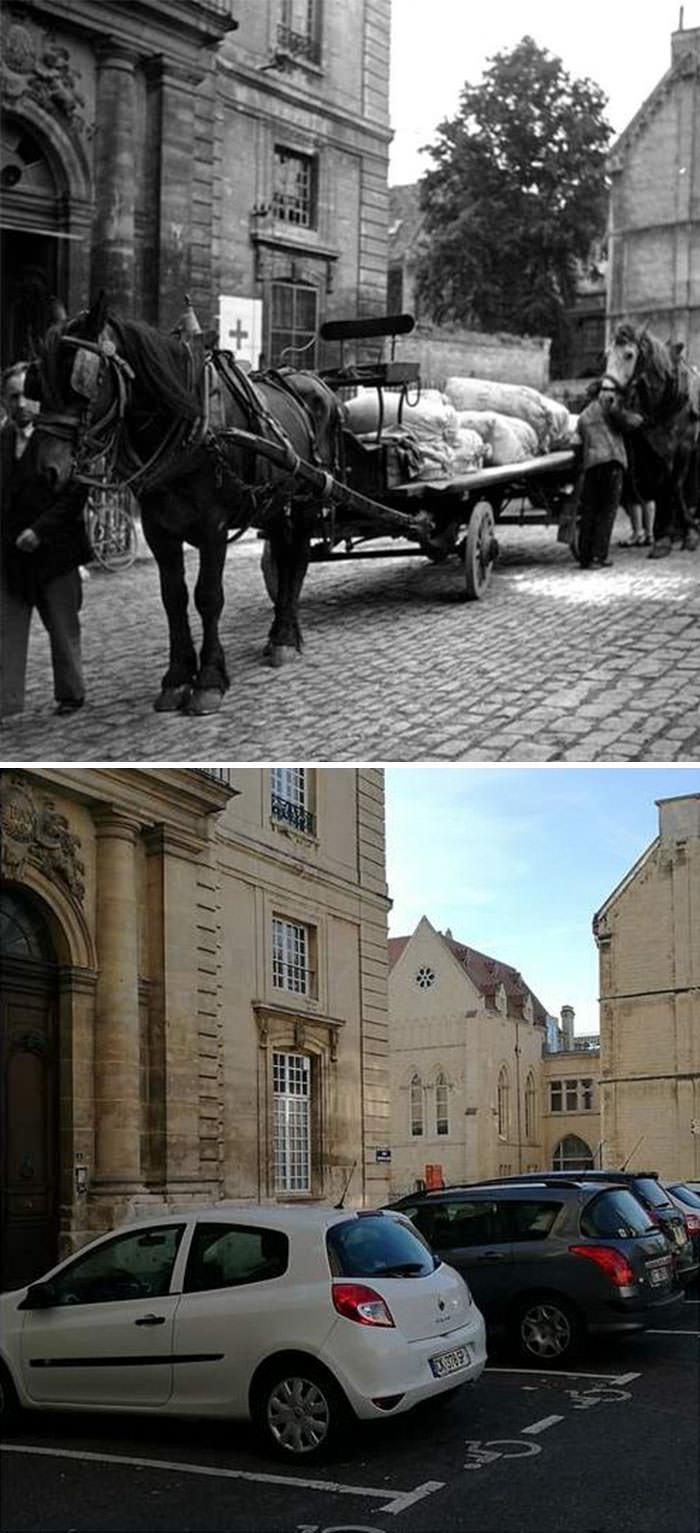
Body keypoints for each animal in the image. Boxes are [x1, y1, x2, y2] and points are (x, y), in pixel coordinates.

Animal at [25, 295, 343, 714]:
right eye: (38, 380)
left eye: (83, 378)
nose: (46, 470)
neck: (189, 422)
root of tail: (315, 382)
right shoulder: (159, 530)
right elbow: (173, 598)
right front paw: (177, 677)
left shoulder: (214, 527)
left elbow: (208, 597)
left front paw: (208, 679)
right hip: (276, 502)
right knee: (285, 557)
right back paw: (278, 630)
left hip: (308, 498)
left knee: (300, 559)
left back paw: (286, 637)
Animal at [603, 323, 695, 558]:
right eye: (607, 355)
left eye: (629, 354)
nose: (606, 398)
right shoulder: (658, 451)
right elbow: (666, 486)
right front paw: (665, 538)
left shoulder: (686, 448)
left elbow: (678, 486)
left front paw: (689, 533)